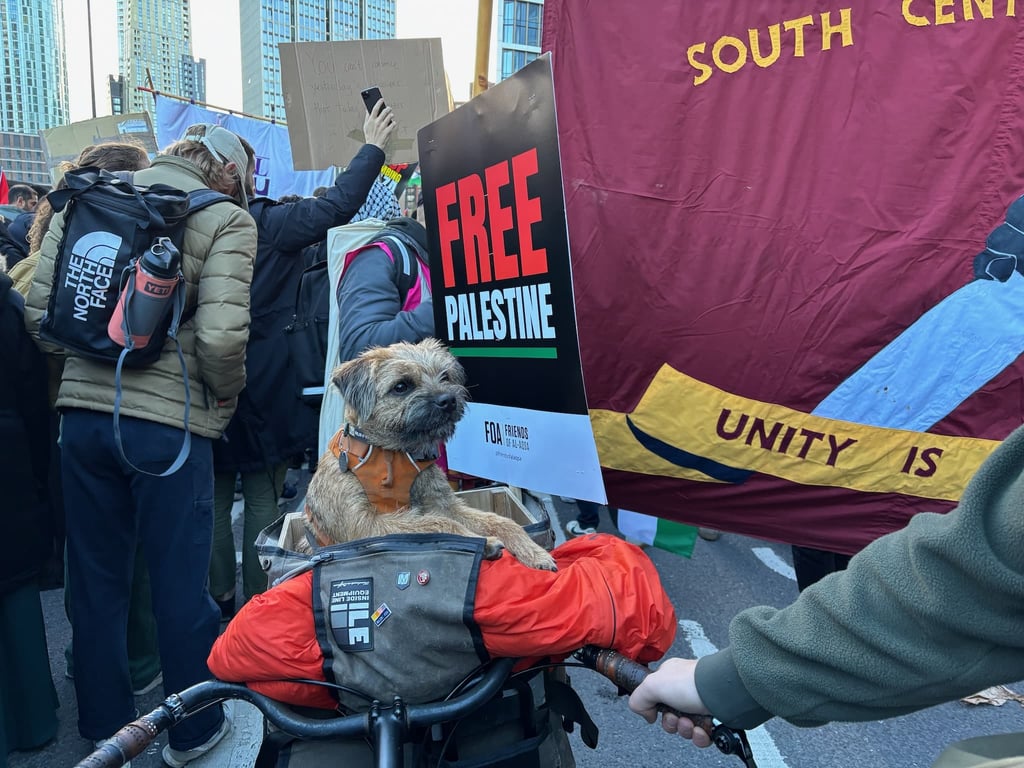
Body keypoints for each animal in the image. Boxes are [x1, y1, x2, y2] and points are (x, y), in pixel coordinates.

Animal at [303, 337, 561, 573]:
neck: (392, 454)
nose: (448, 400)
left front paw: (533, 550)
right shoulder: (366, 525)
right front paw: (484, 542)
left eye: (444, 376)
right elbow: (435, 522)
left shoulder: (444, 503)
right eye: (401, 386)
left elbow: (498, 520)